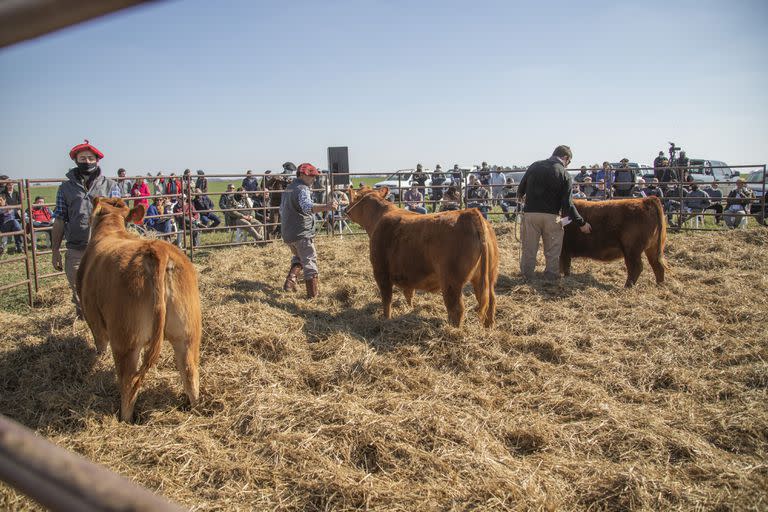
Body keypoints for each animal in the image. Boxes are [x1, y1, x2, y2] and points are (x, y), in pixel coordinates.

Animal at [78, 198, 201, 422]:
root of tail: (157, 250)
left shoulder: (93, 317)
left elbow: (100, 345)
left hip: (126, 341)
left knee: (129, 384)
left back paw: (124, 420)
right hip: (188, 334)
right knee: (190, 374)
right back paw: (195, 409)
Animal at [346, 187, 500, 328]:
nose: (346, 210)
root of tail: (470, 213)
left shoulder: (381, 271)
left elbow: (386, 299)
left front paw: (386, 319)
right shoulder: (406, 275)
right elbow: (409, 294)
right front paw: (409, 309)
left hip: (451, 281)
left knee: (457, 309)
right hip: (487, 277)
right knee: (490, 300)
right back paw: (489, 327)